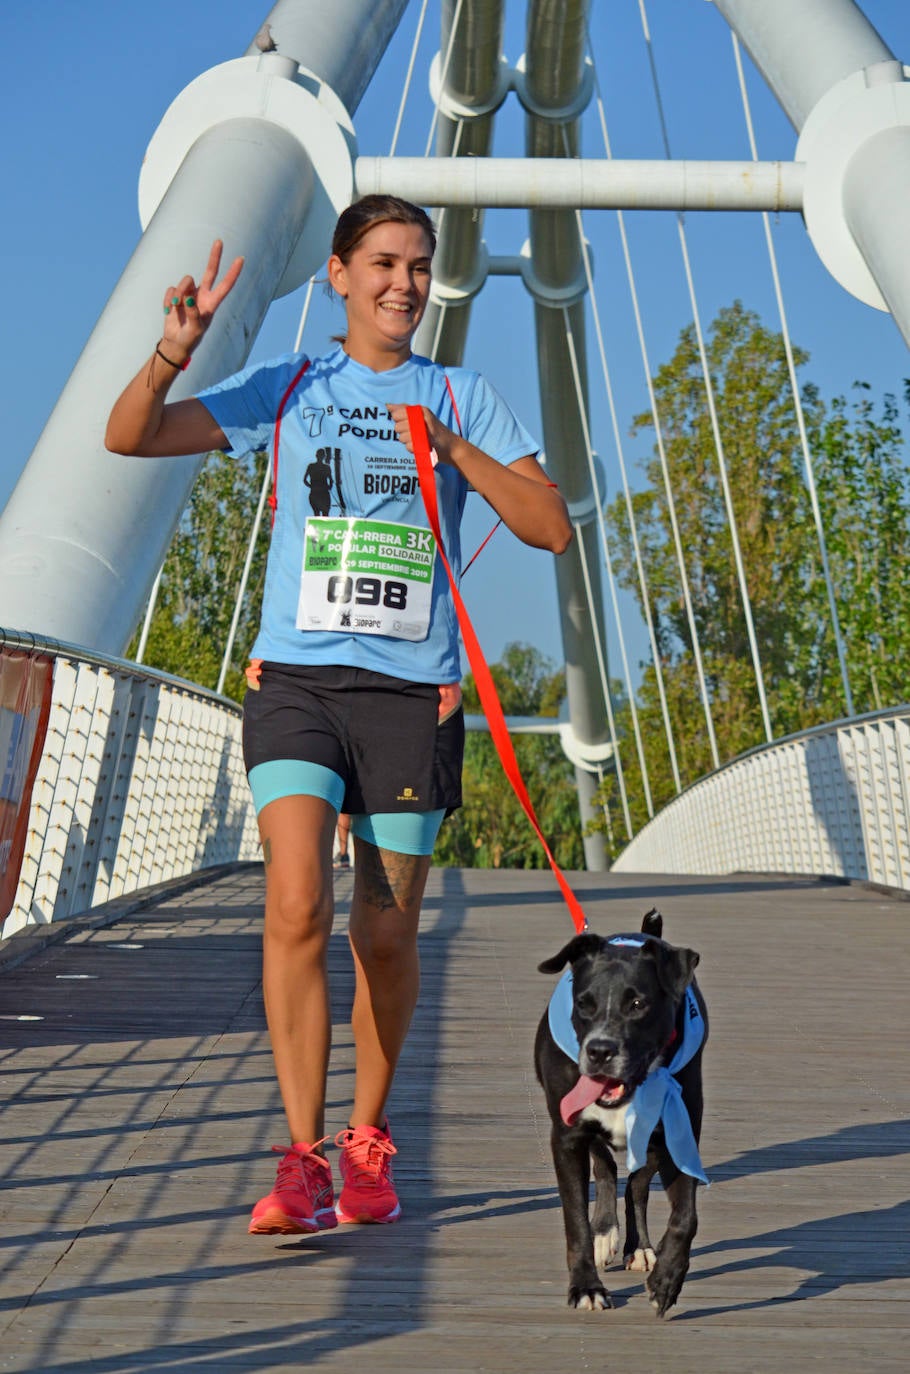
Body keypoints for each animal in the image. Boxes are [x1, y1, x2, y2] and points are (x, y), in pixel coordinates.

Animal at [538, 906, 709, 1313]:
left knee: (636, 1185)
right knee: (605, 1167)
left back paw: (641, 1248)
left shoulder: (678, 1131)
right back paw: (605, 1233)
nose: (600, 1051)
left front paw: (666, 1278)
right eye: (583, 1003)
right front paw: (586, 1286)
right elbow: (575, 1219)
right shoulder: (567, 1137)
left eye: (637, 1004)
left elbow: (685, 1216)